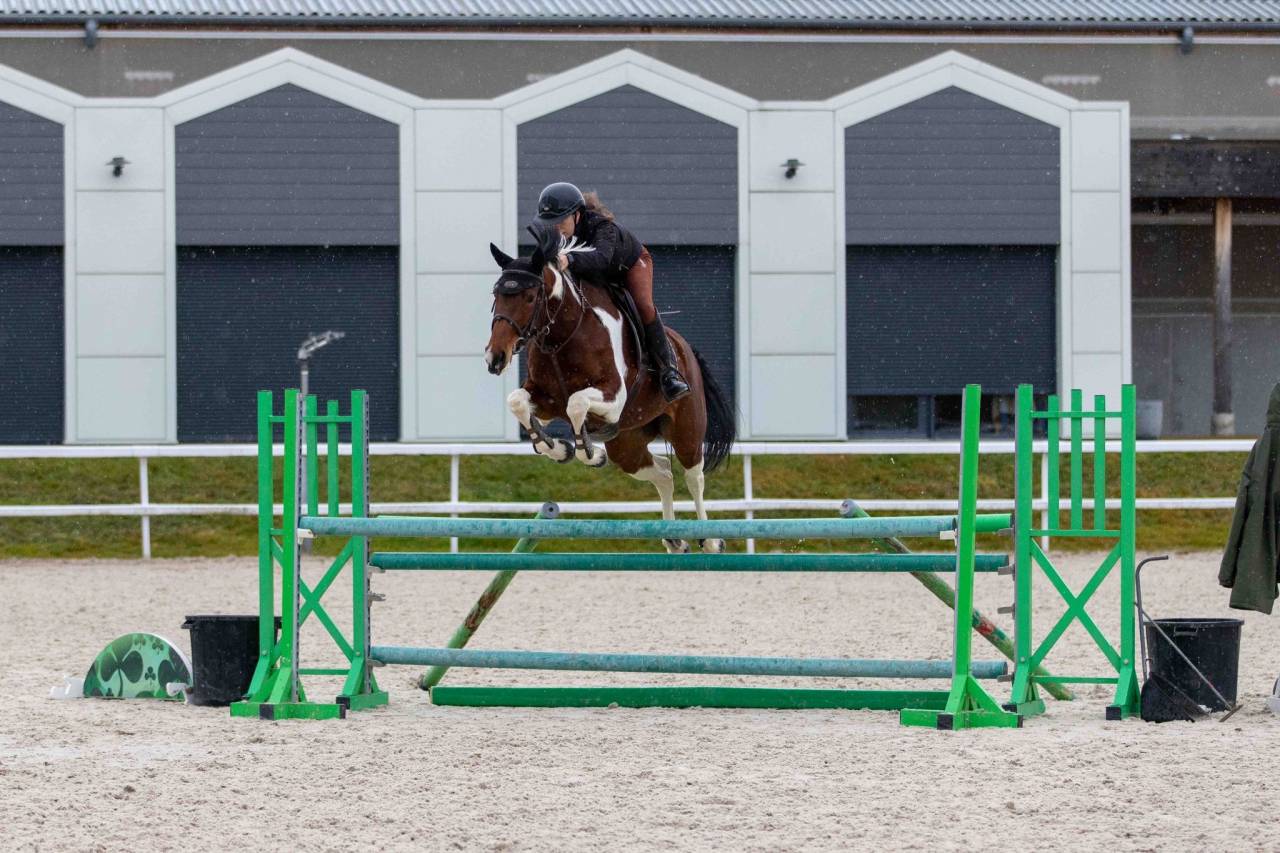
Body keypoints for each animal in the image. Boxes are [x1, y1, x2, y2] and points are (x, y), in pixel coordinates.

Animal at [483, 235, 735, 554]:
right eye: (496, 295)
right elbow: (517, 402)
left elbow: (576, 404)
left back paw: (710, 540)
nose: (495, 358)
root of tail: (685, 348)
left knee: (694, 476)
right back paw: (674, 540)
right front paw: (558, 448)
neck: (563, 336)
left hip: (687, 429)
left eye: (529, 298)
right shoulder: (545, 401)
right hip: (627, 446)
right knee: (664, 473)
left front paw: (589, 453)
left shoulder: (613, 399)